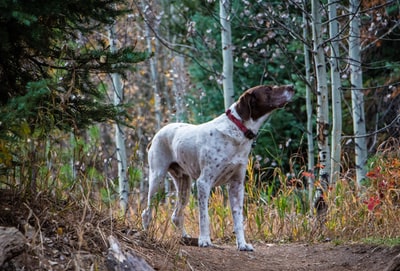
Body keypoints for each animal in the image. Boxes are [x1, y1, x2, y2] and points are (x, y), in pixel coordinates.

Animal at [141, 85, 294, 253]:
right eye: (268, 89)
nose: (291, 87)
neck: (237, 130)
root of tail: (156, 135)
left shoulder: (236, 185)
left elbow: (238, 219)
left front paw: (242, 244)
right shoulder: (203, 182)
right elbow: (204, 217)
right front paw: (204, 240)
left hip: (184, 184)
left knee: (176, 216)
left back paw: (185, 238)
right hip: (157, 179)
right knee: (147, 213)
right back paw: (147, 235)